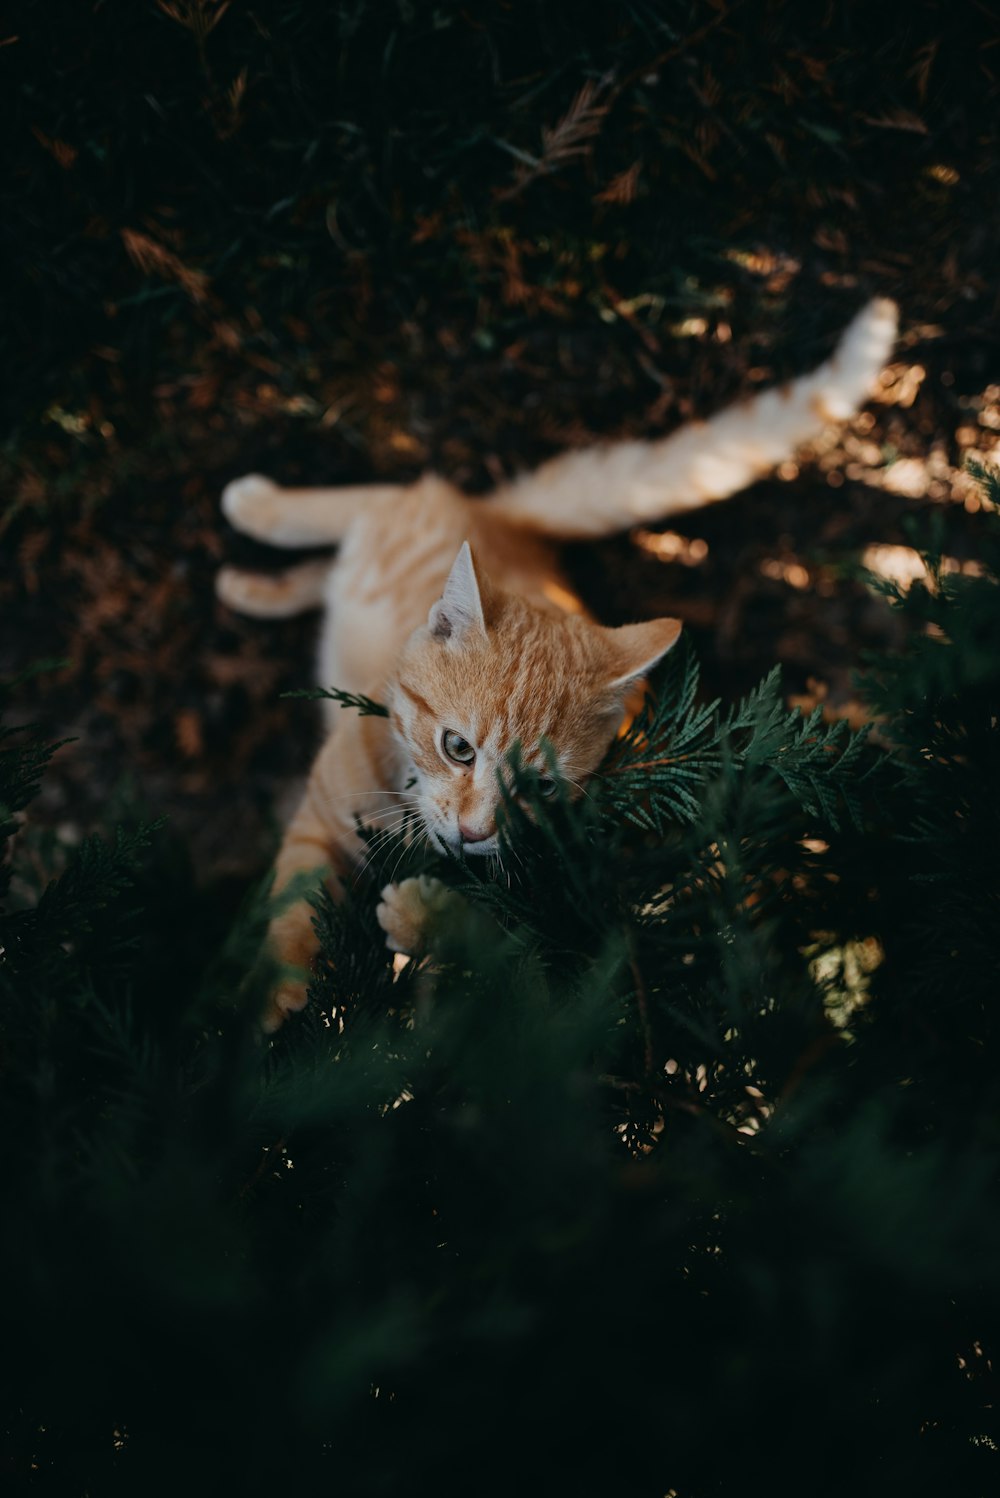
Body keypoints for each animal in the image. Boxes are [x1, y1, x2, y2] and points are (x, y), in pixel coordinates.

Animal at [217, 302, 898, 1030]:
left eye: (540, 788)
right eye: (458, 748)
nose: (475, 832)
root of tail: (506, 528)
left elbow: (503, 970)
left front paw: (427, 918)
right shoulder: (319, 818)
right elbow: (294, 910)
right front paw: (274, 994)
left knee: (325, 570)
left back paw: (249, 587)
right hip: (396, 513)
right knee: (355, 504)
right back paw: (254, 505)